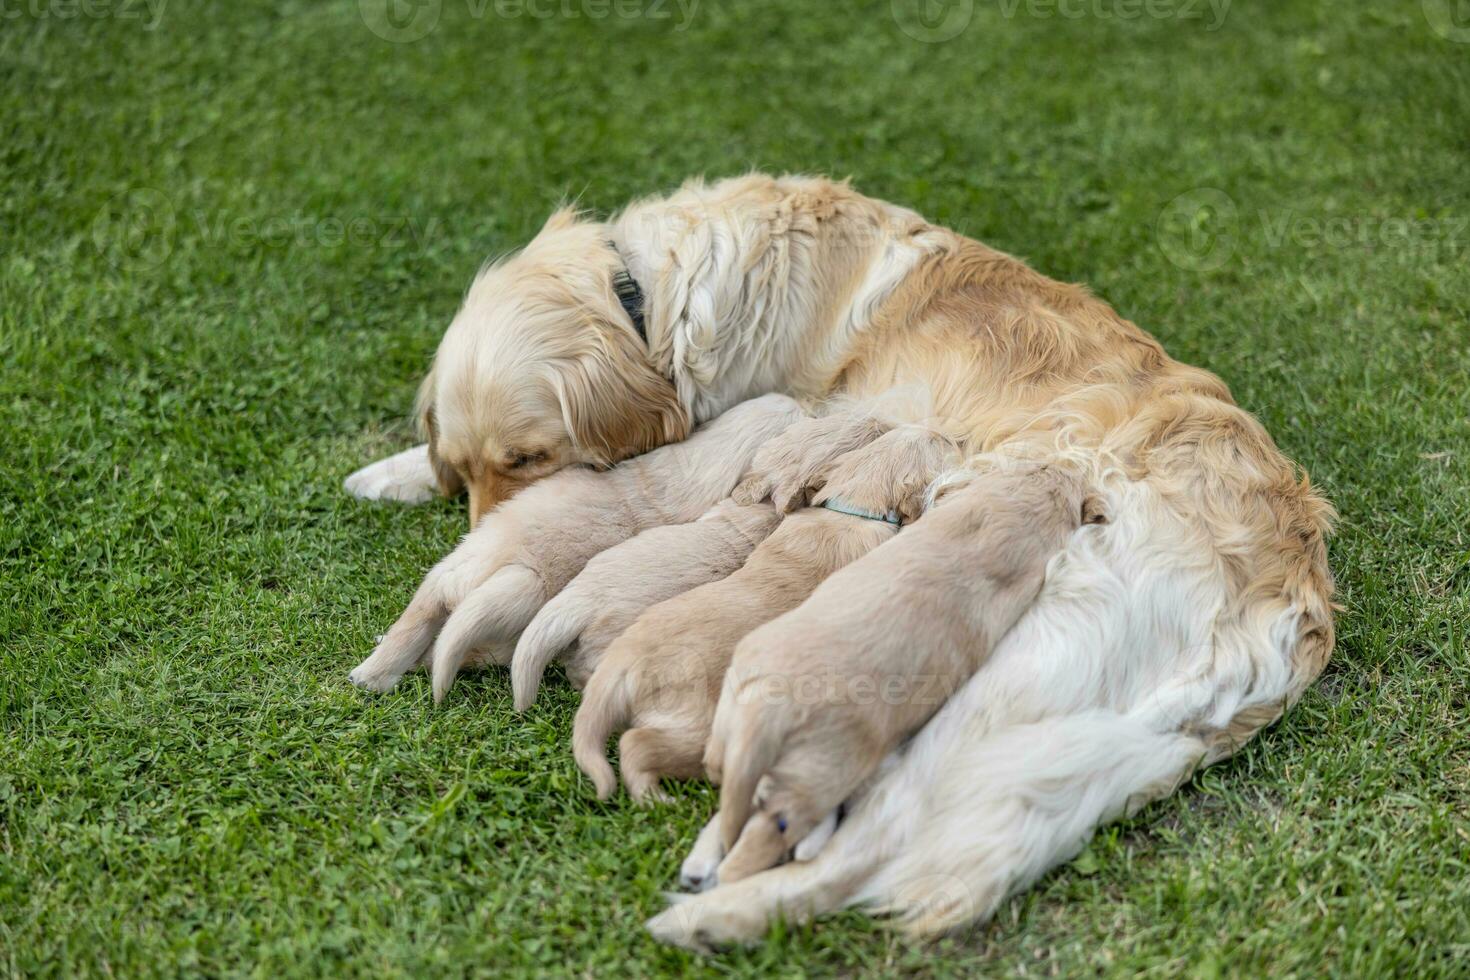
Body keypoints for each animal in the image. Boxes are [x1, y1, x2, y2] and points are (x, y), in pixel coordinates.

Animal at [567, 423, 958, 805]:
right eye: (938, 443)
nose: (947, 433)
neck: (849, 507)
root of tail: (622, 660)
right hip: (698, 724)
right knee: (636, 744)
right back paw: (656, 798)